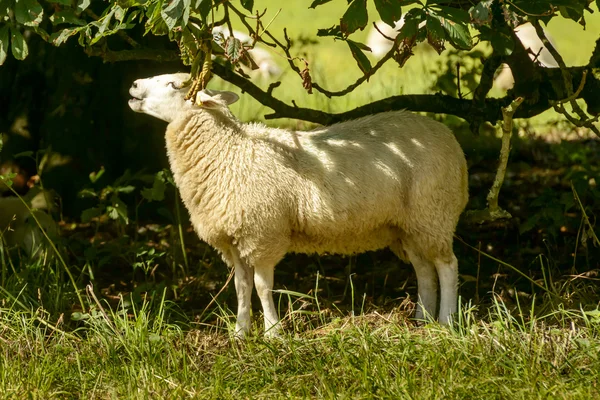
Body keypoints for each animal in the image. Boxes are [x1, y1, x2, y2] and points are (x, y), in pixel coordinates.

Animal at [129, 72, 472, 338]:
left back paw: (446, 322)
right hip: (408, 225)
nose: (132, 85)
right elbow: (241, 286)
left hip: (433, 211)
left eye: (174, 84)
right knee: (424, 269)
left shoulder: (262, 234)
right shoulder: (234, 239)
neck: (230, 150)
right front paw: (240, 332)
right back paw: (422, 320)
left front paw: (272, 332)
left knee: (447, 265)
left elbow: (262, 286)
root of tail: (449, 137)